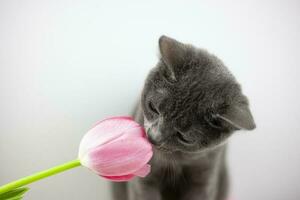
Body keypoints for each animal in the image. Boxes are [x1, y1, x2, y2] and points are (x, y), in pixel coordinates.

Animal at [111, 36, 256, 200]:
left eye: (184, 137)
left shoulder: (206, 174)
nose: (153, 138)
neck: (176, 161)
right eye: (153, 107)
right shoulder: (144, 178)